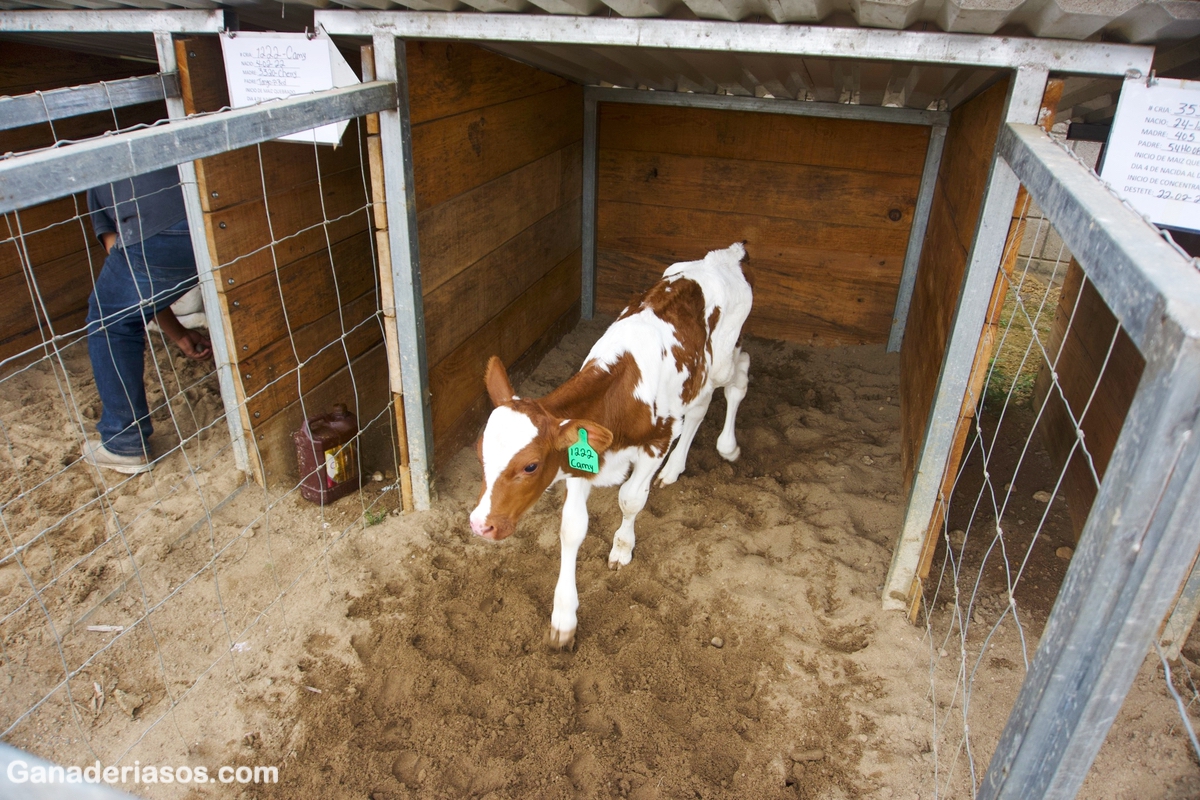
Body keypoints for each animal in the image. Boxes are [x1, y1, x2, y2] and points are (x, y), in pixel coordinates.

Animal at [468, 241, 748, 647]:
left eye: (531, 465)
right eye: (481, 455)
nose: (479, 525)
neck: (620, 390)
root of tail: (725, 255)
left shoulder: (657, 442)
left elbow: (630, 499)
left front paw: (622, 548)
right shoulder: (582, 458)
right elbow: (571, 529)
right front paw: (564, 618)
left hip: (725, 357)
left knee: (737, 380)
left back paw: (727, 446)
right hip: (701, 370)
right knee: (699, 406)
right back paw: (675, 469)